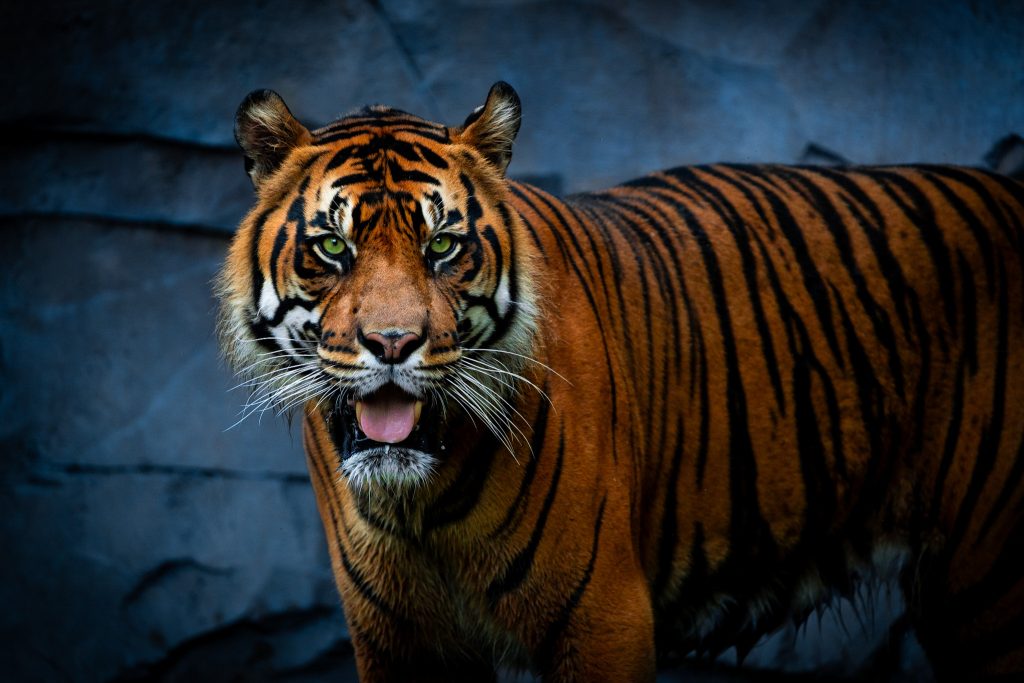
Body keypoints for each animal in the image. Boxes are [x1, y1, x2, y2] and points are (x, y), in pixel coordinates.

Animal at [214, 82, 1024, 679]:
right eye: (332, 246)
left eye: (442, 246)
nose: (393, 343)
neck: (420, 503)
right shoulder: (395, 639)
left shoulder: (602, 617)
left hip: (989, 587)